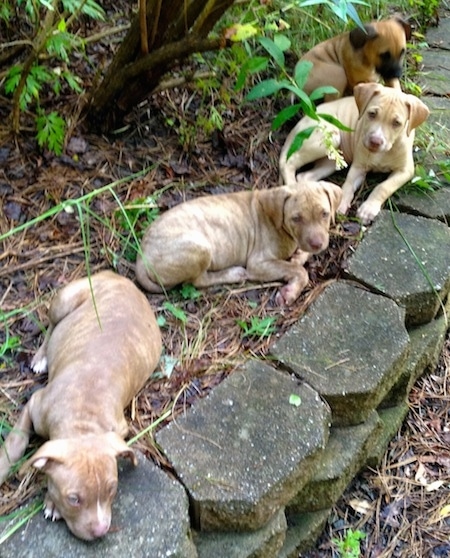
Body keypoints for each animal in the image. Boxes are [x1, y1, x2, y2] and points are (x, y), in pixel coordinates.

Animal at [0, 272, 162, 544]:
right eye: (73, 499)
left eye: (112, 489)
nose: (100, 532)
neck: (83, 418)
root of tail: (121, 277)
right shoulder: (35, 404)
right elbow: (15, 442)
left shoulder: (118, 430)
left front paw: (51, 503)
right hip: (65, 300)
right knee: (51, 326)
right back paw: (42, 357)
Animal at [136, 183, 342, 306]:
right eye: (296, 218)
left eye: (325, 214)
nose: (317, 244)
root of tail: (141, 254)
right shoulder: (258, 263)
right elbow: (300, 271)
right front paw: (289, 292)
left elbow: (301, 257)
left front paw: (298, 257)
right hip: (198, 247)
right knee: (197, 281)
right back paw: (234, 273)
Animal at [280, 81, 430, 225]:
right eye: (372, 114)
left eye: (397, 123)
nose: (375, 141)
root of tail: (304, 118)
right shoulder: (359, 166)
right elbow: (348, 183)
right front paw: (342, 203)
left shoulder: (405, 170)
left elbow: (384, 186)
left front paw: (368, 208)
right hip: (330, 137)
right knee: (288, 162)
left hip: (332, 161)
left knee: (304, 176)